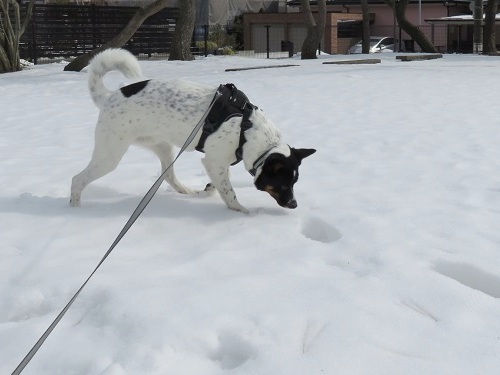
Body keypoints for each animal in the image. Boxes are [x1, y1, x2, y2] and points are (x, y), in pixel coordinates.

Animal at [71, 49, 314, 213]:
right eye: (283, 183)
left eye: (295, 182)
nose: (294, 204)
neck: (249, 131)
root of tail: (108, 97)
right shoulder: (214, 161)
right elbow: (229, 191)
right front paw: (241, 212)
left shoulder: (219, 164)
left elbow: (221, 184)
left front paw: (209, 189)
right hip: (109, 155)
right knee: (77, 179)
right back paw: (74, 208)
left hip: (162, 146)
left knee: (168, 175)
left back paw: (187, 191)